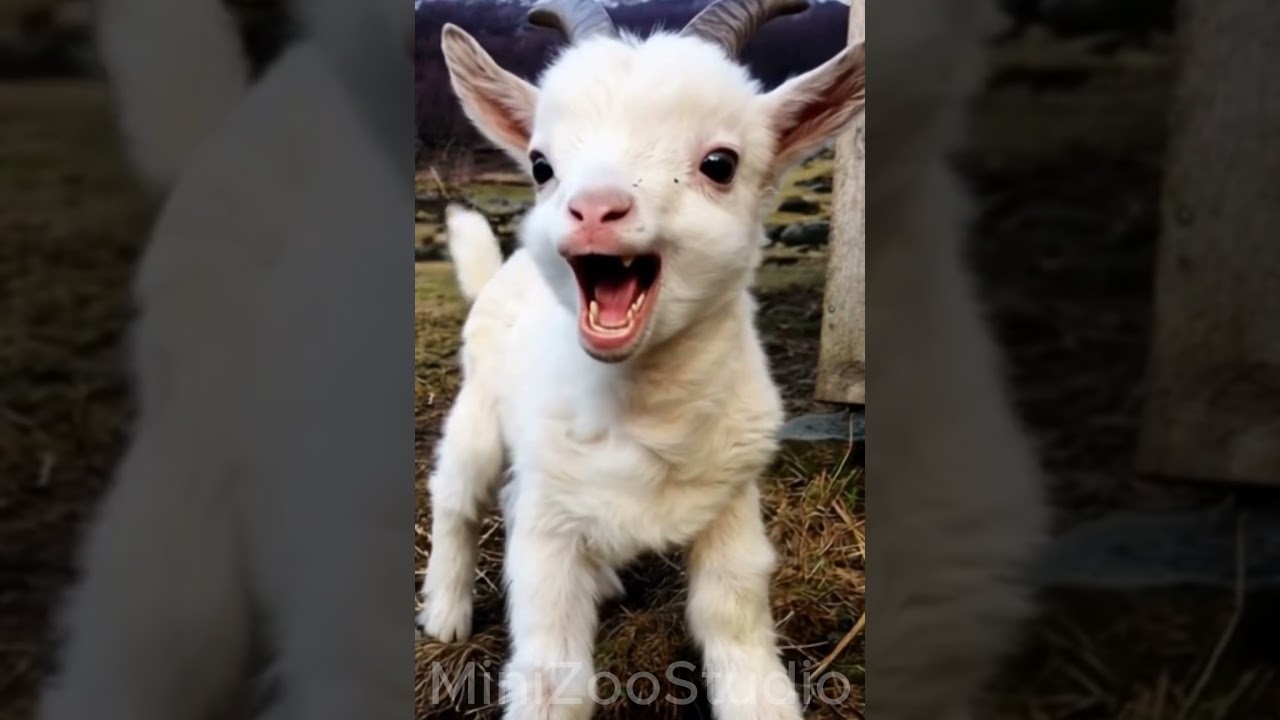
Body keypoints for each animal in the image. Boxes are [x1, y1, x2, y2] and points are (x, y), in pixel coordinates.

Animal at [416, 1, 865, 718]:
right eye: (540, 165)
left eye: (720, 163)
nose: (594, 209)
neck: (642, 410)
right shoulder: (547, 532)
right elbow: (553, 679)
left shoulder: (733, 510)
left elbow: (738, 641)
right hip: (480, 414)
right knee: (457, 495)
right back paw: (445, 611)